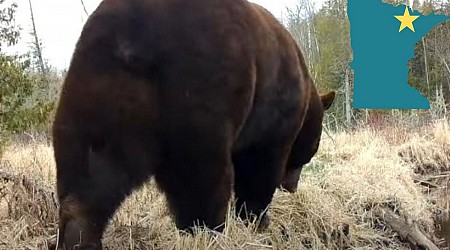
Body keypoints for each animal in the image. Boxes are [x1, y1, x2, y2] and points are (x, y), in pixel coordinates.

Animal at [51, 0, 334, 248]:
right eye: (313, 148)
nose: (292, 187)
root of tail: (129, 40)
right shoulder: (274, 113)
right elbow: (260, 166)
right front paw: (257, 220)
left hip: (96, 98)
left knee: (91, 175)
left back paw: (79, 237)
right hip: (199, 93)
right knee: (202, 177)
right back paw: (208, 231)